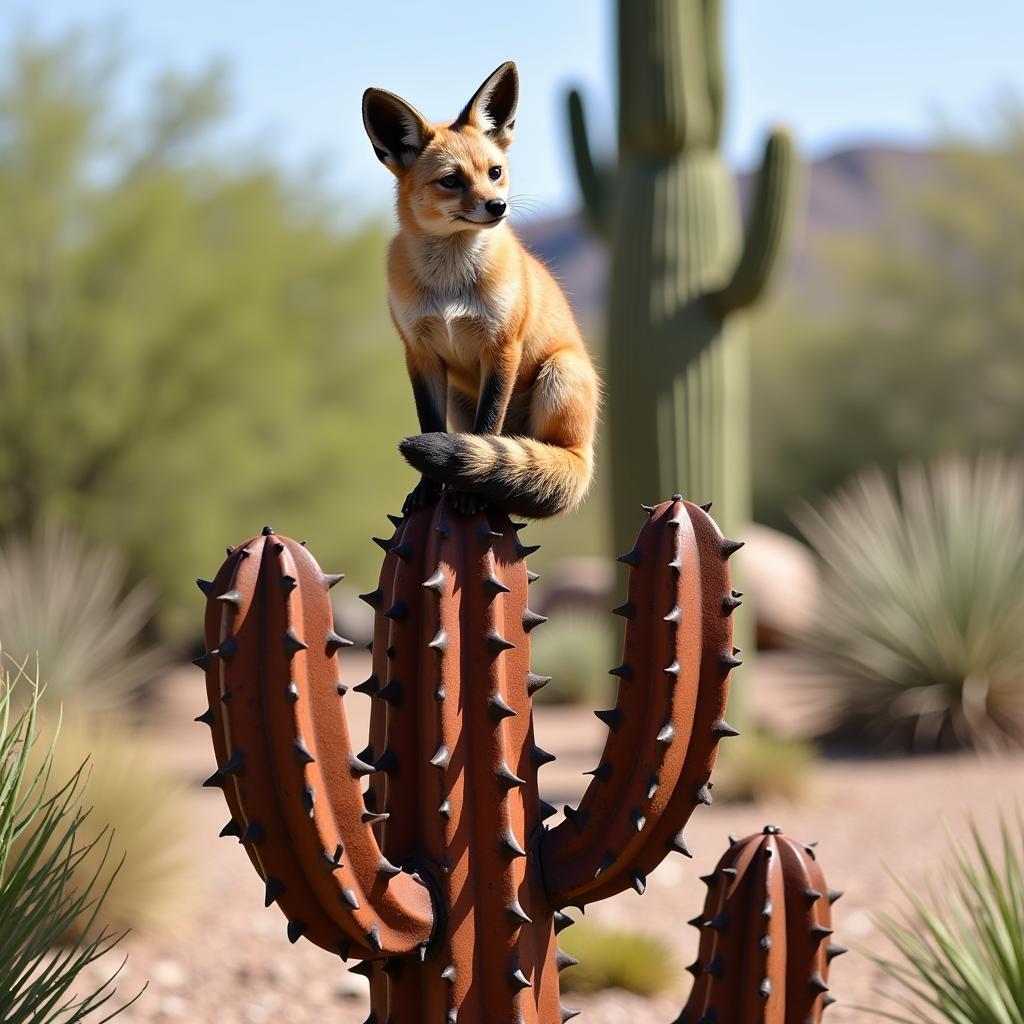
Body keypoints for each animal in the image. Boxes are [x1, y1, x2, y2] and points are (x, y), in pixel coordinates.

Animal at [362, 59, 598, 516]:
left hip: (559, 371)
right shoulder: (420, 352)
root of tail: (584, 458)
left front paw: (469, 492)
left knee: (520, 446)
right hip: (459, 395)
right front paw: (428, 488)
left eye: (495, 172)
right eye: (451, 180)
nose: (497, 207)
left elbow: (486, 427)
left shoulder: (503, 345)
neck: (451, 289)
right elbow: (430, 425)